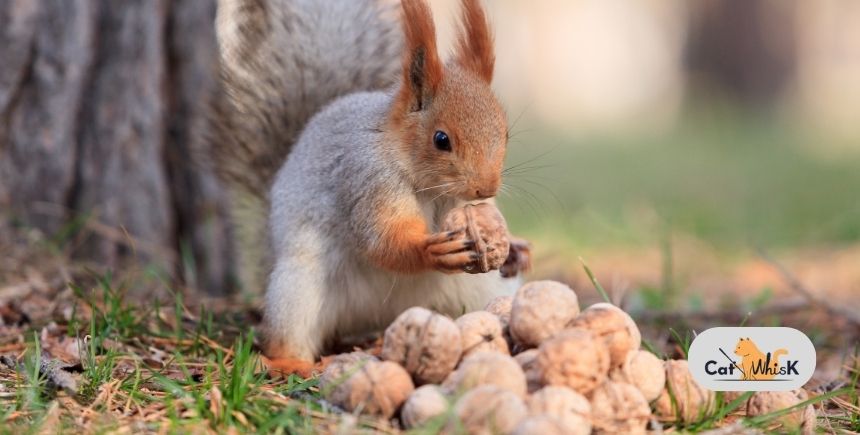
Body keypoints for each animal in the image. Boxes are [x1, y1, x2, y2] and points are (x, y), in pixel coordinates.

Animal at [211, 0, 530, 375]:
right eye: (441, 139)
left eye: (505, 133)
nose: (486, 188)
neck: (431, 187)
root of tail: (376, 318)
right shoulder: (367, 178)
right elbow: (382, 240)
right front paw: (431, 252)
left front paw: (516, 247)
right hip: (300, 286)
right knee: (288, 332)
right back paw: (292, 362)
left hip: (478, 287)